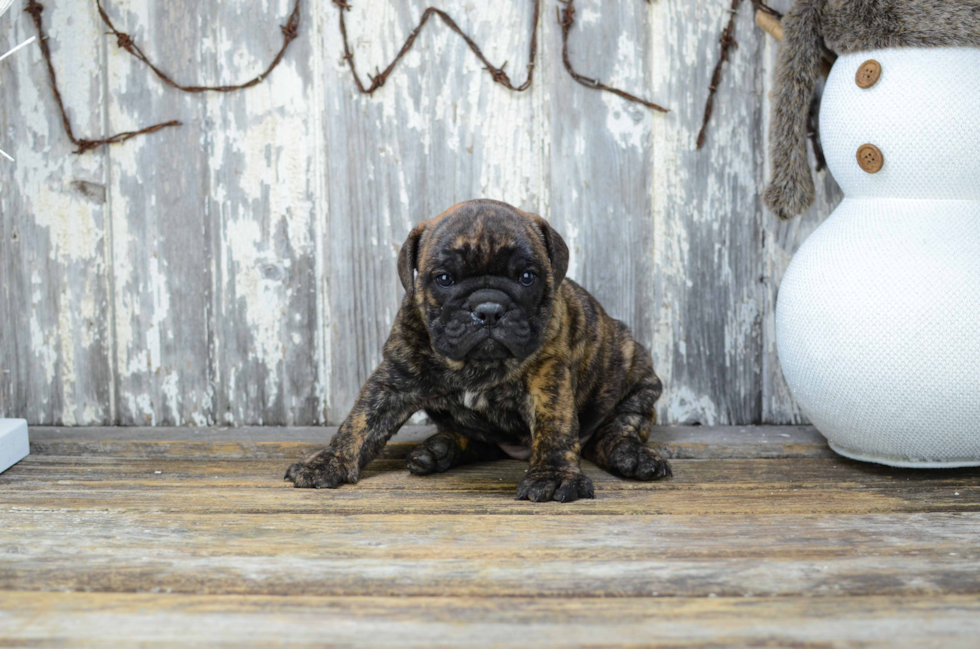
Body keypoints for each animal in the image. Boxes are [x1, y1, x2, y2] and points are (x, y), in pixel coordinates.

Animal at [284, 197, 668, 502]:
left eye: (527, 277)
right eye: (444, 279)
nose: (488, 309)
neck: (476, 363)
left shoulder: (548, 378)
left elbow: (555, 427)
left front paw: (555, 476)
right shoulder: (392, 380)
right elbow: (360, 421)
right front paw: (328, 462)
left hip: (638, 376)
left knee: (619, 428)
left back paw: (634, 457)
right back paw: (438, 450)